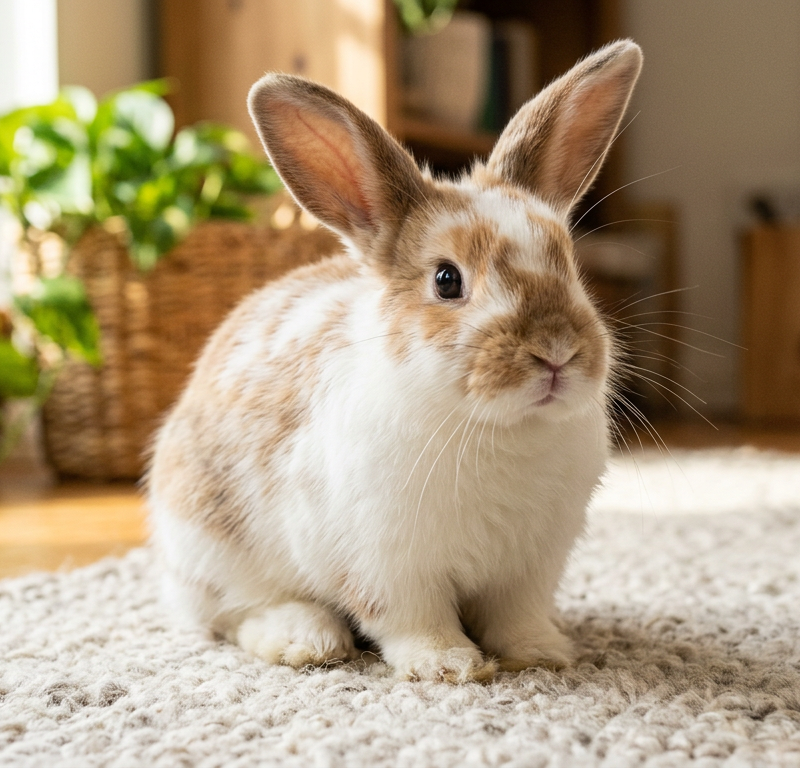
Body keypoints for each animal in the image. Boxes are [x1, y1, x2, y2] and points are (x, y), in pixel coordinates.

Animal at [147, 40, 642, 683]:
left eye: (569, 264)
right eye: (447, 280)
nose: (556, 350)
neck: (500, 429)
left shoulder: (530, 568)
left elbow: (517, 616)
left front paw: (541, 654)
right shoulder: (387, 565)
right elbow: (411, 618)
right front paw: (447, 666)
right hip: (211, 547)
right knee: (233, 614)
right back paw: (305, 640)